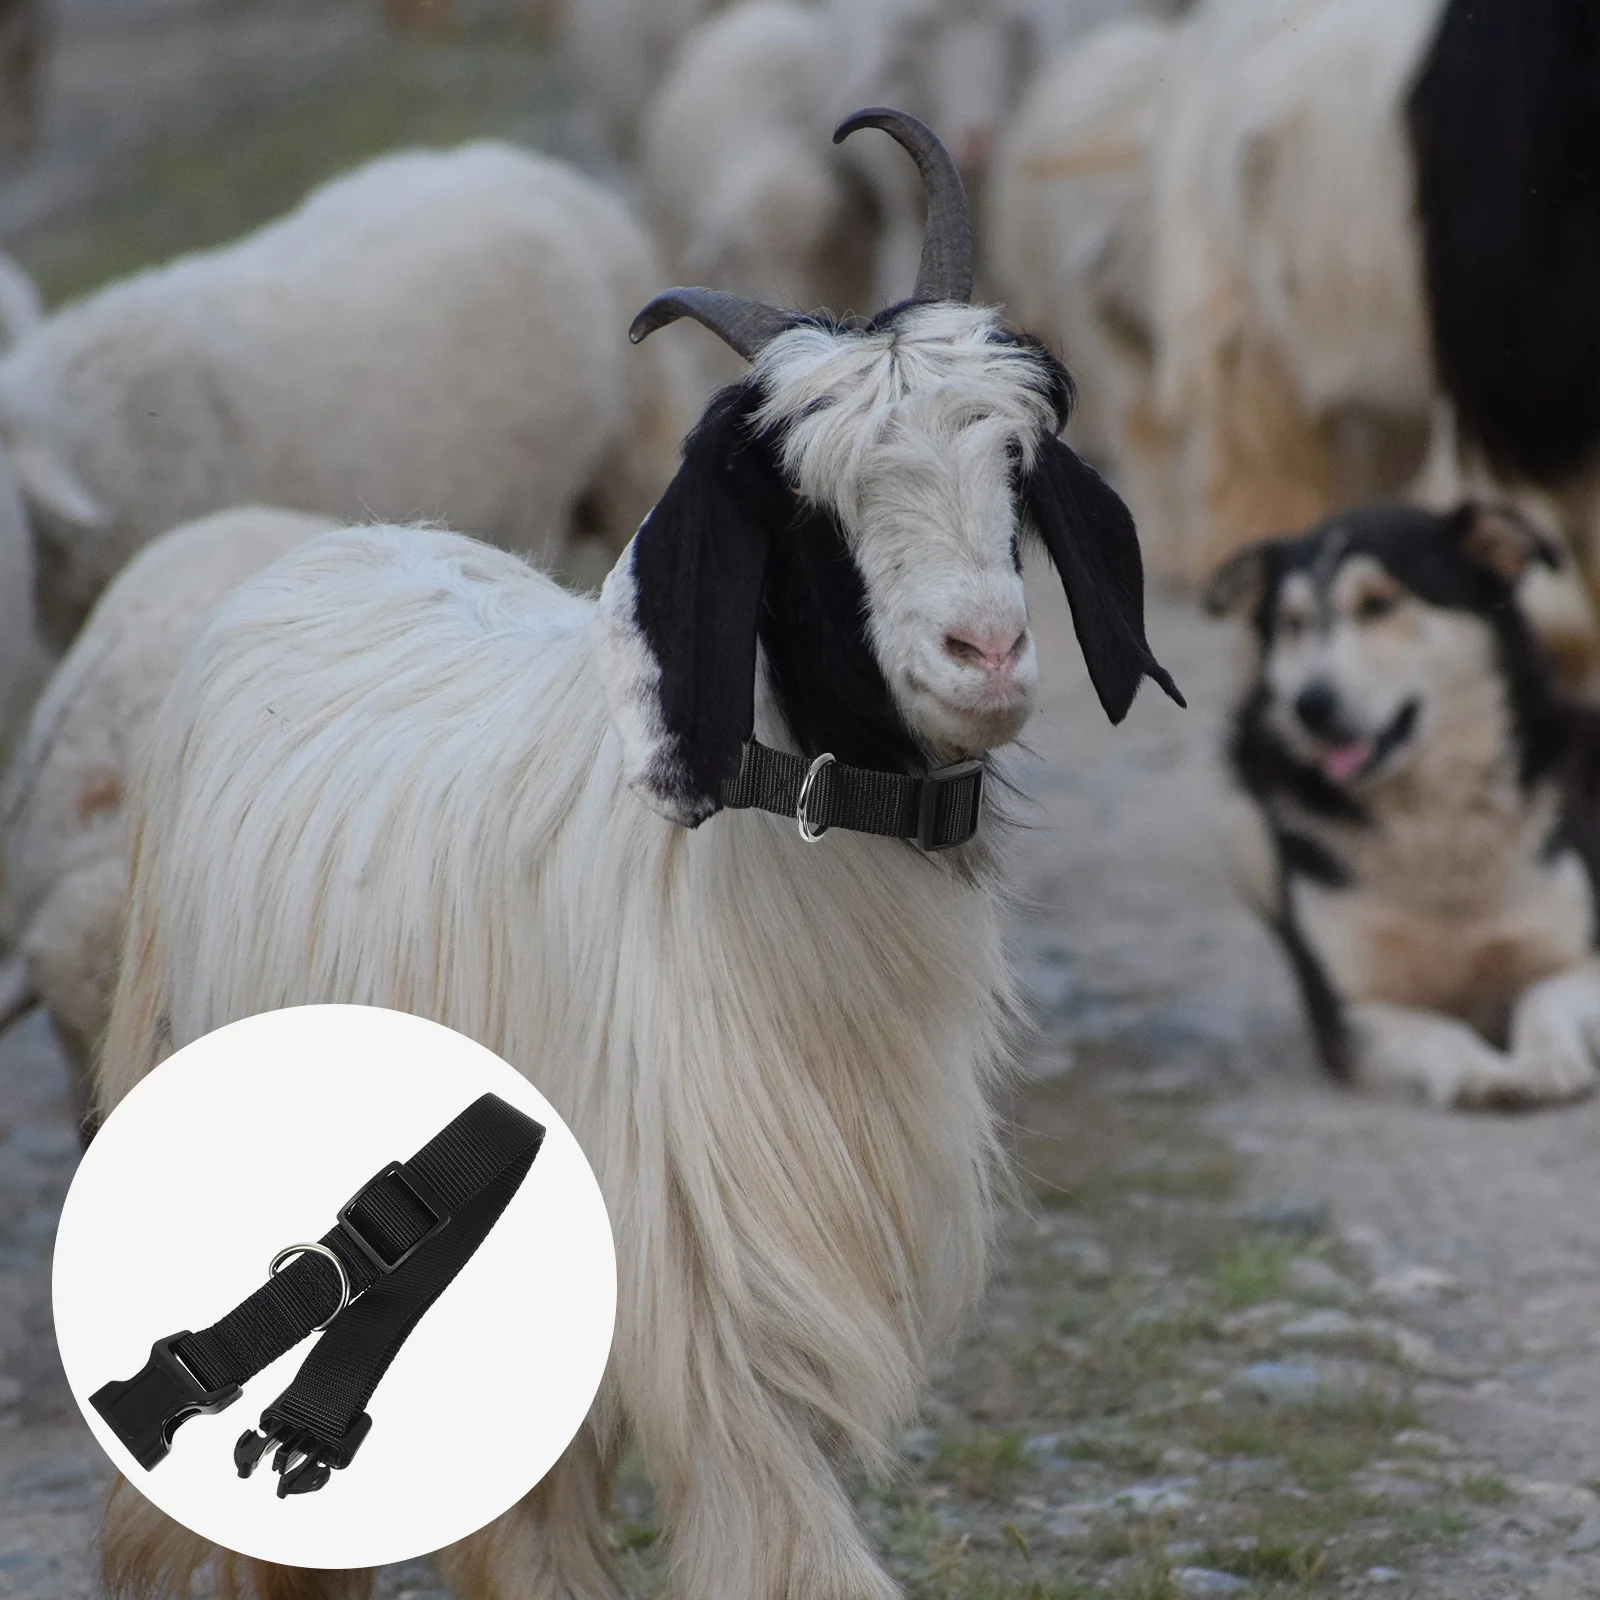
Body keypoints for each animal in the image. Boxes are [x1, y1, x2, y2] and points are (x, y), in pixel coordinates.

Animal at [96, 109, 1180, 1600]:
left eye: (1015, 463)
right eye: (802, 499)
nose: (989, 651)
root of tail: (341, 545)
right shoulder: (697, 1288)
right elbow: (769, 1541)